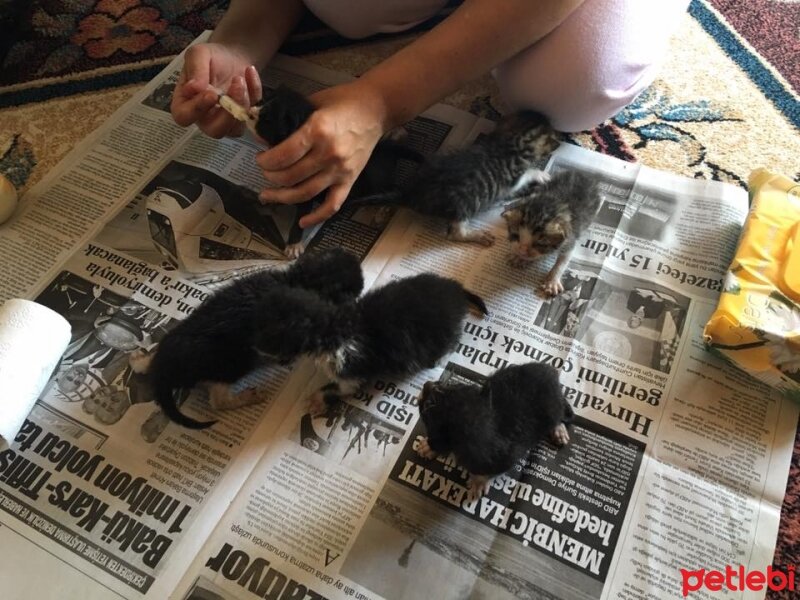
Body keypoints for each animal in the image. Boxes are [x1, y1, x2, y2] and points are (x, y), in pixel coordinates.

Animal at [134, 246, 366, 428]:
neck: (298, 279)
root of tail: (164, 369)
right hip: (229, 366)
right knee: (218, 401)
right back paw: (247, 397)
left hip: (177, 336)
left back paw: (140, 359)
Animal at [252, 85, 424, 256]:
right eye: (262, 99)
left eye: (267, 119)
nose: (251, 109)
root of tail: (387, 148)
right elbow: (284, 191)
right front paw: (271, 197)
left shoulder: (307, 192)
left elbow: (300, 219)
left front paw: (294, 245)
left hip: (377, 181)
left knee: (392, 189)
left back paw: (382, 211)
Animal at [346, 111, 560, 245]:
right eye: (552, 136)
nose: (559, 142)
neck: (509, 142)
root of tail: (411, 194)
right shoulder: (513, 179)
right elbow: (527, 173)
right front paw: (540, 173)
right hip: (464, 206)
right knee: (455, 234)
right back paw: (477, 236)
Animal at [416, 364, 572, 500]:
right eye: (450, 386)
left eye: (429, 404)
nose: (427, 384)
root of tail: (554, 378)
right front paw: (428, 447)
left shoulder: (505, 457)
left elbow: (489, 470)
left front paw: (479, 482)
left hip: (552, 408)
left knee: (560, 413)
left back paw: (559, 431)